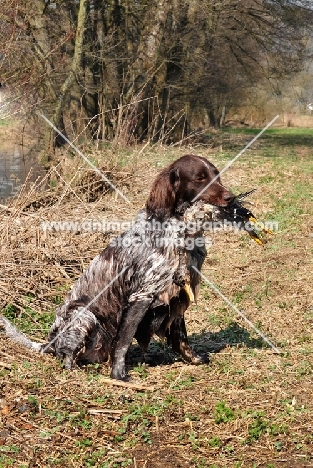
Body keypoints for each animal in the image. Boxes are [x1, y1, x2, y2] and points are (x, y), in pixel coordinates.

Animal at [0, 155, 234, 382]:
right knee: (67, 357)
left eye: (216, 175)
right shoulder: (142, 295)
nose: (231, 198)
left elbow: (181, 337)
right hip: (84, 315)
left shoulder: (177, 293)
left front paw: (194, 359)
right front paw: (118, 374)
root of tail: (49, 342)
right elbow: (124, 340)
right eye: (199, 178)